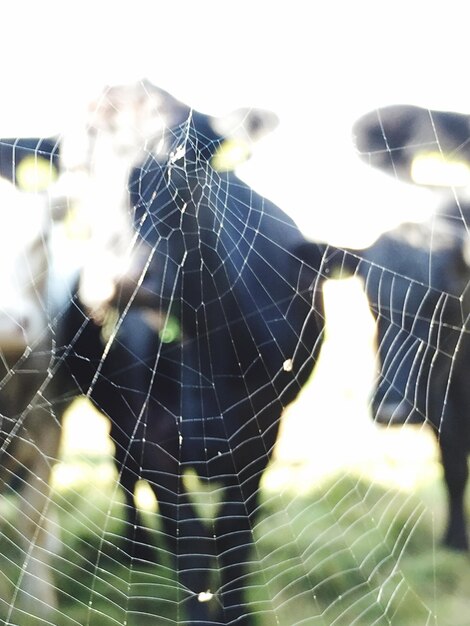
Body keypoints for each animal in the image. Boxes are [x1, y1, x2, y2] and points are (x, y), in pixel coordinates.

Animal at [57, 83, 326, 624]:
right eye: (75, 168)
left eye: (184, 161)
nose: (122, 280)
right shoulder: (154, 434)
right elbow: (192, 547)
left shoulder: (262, 431)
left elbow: (235, 535)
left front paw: (237, 611)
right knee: (122, 465)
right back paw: (136, 547)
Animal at [350, 105, 470, 548]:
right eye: (373, 303)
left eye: (445, 304)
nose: (392, 411)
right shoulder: (442, 410)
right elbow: (453, 469)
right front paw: (455, 539)